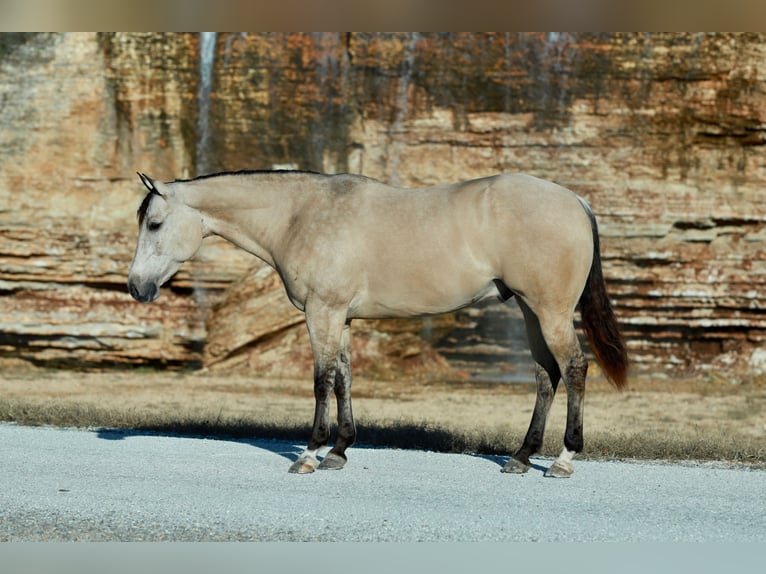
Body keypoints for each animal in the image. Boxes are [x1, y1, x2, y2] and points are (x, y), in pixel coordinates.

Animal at [127, 169, 628, 477]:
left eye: (154, 224)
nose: (136, 287)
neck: (299, 215)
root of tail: (575, 200)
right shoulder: (341, 318)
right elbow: (344, 380)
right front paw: (340, 450)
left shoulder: (322, 313)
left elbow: (321, 381)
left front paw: (310, 453)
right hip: (528, 309)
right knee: (546, 375)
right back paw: (522, 457)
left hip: (550, 311)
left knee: (574, 369)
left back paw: (563, 459)